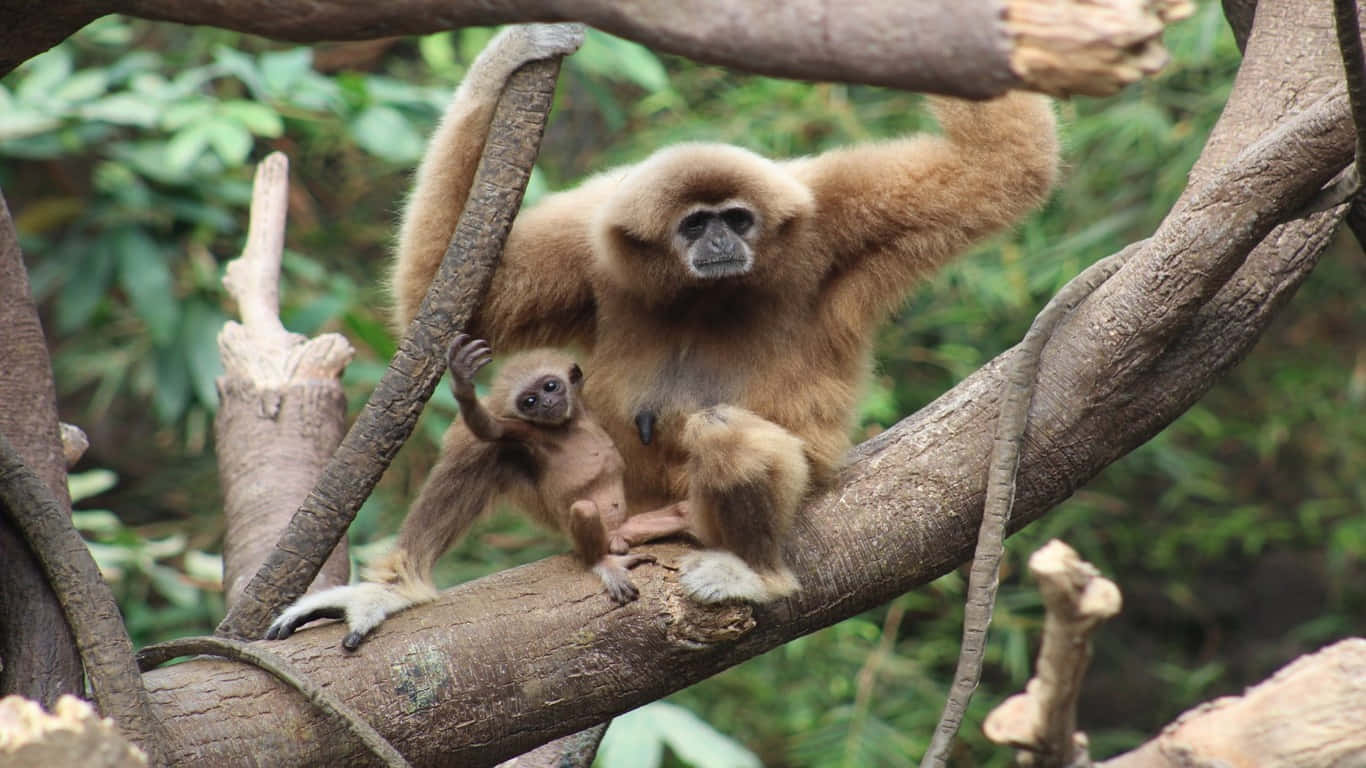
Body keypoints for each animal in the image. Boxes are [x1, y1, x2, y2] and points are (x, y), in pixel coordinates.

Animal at [266, 334, 687, 650]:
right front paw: (463, 383)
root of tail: (617, 536)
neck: (572, 428)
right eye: (530, 400)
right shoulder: (522, 433)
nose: (548, 403)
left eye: (551, 386)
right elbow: (488, 431)